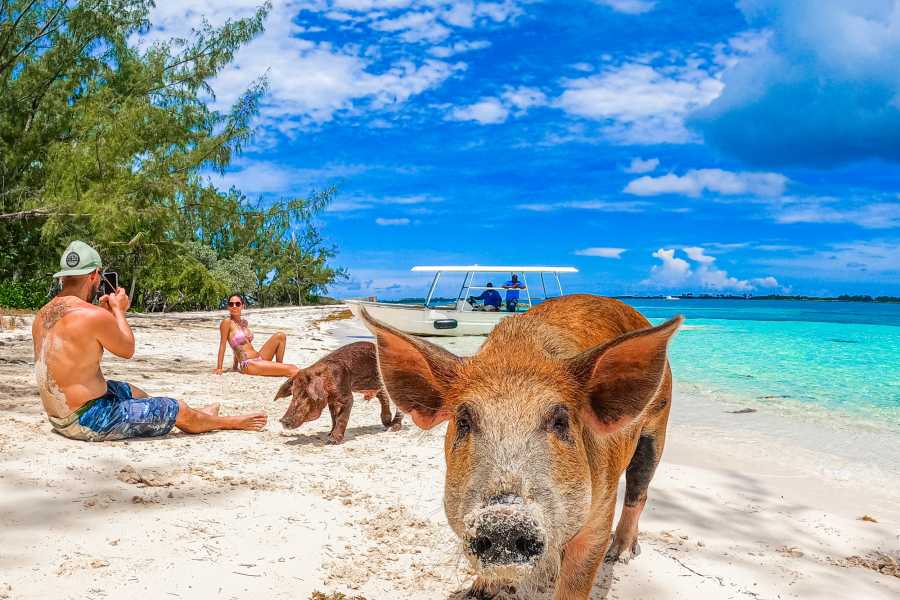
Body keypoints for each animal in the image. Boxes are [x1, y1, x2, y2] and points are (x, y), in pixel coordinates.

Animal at [274, 341, 403, 444]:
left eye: (306, 395)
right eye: (294, 394)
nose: (282, 420)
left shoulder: (346, 396)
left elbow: (341, 418)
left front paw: (332, 441)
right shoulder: (332, 401)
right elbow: (334, 417)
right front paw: (329, 434)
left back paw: (393, 427)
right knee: (382, 394)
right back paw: (387, 422)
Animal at [360, 295, 681, 599]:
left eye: (561, 422)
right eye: (463, 421)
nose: (505, 520)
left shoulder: (600, 509)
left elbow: (577, 579)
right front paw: (476, 592)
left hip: (656, 430)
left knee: (639, 493)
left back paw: (621, 554)